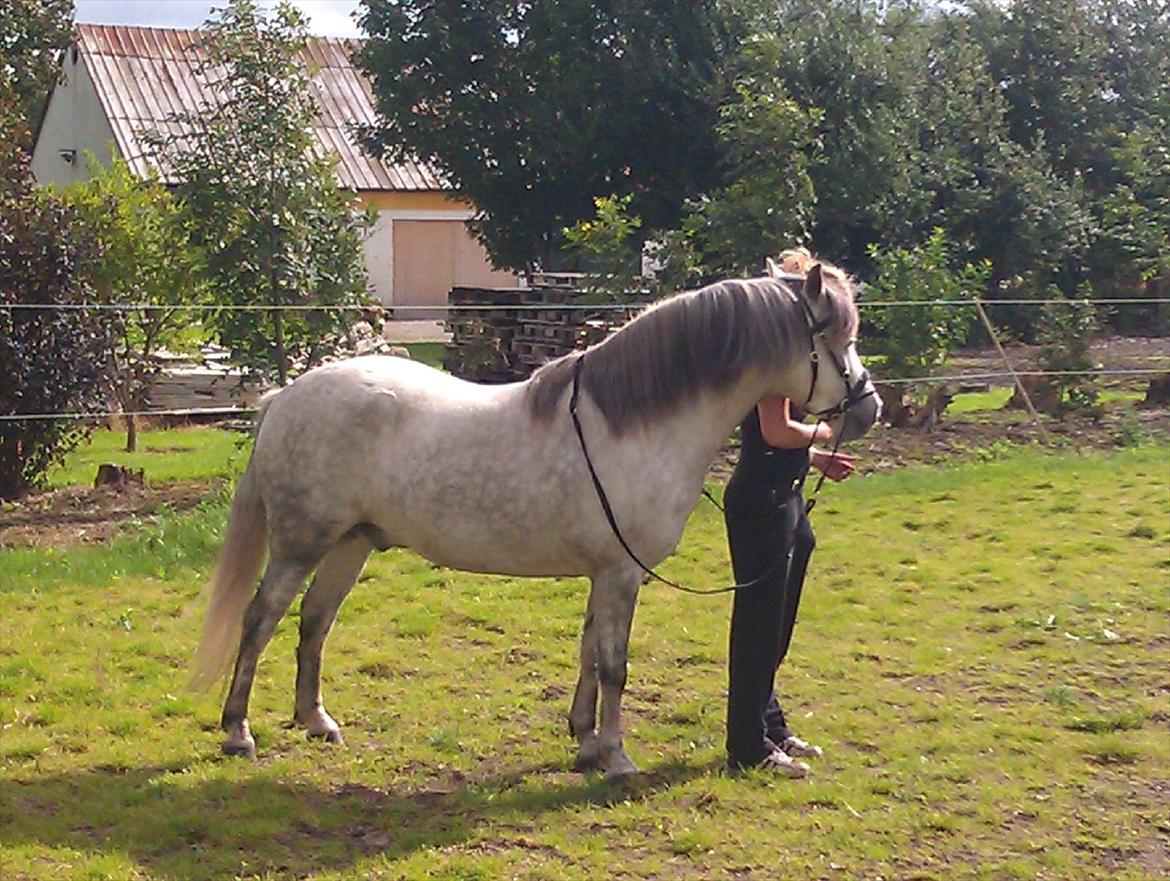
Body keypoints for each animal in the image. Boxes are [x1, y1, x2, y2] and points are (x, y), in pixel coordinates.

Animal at [191, 259, 881, 778]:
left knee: (314, 621)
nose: (868, 407)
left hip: (350, 544)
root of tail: (286, 397)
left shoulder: (606, 573)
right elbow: (614, 664)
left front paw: (585, 741)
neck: (635, 424)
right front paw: (617, 757)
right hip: (300, 544)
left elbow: (590, 652)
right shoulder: (620, 574)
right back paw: (237, 732)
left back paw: (316, 722)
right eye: (833, 338)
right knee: (260, 620)